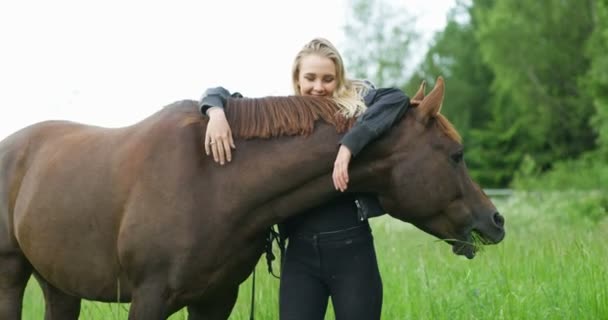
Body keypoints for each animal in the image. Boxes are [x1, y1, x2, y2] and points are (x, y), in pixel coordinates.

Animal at [0, 78, 504, 320]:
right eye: (456, 155)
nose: (495, 220)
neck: (213, 182)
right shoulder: (149, 299)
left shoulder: (215, 300)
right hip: (11, 275)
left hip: (59, 284)